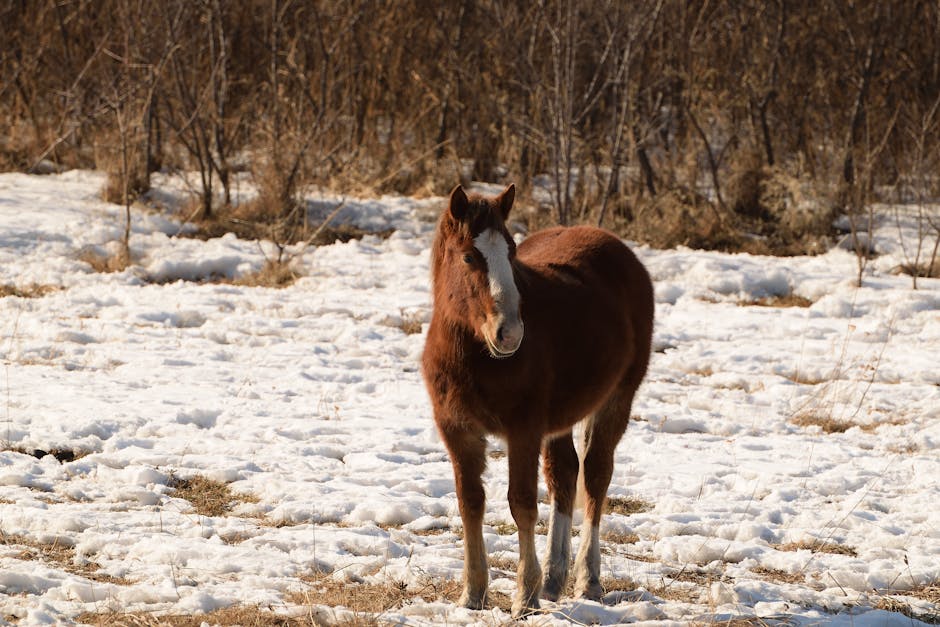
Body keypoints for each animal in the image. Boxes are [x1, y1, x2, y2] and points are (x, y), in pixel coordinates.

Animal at [420, 184, 652, 616]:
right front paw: (473, 593)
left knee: (595, 475)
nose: (510, 332)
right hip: (560, 417)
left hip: (617, 398)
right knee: (564, 474)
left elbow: (522, 503)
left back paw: (587, 579)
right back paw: (554, 578)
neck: (476, 356)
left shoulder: (523, 429)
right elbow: (470, 502)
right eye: (468, 256)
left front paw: (524, 596)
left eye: (511, 251)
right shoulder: (457, 430)